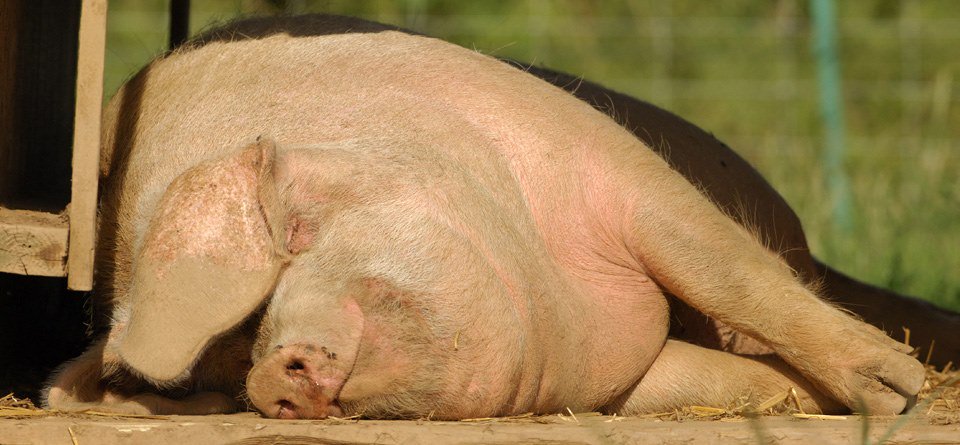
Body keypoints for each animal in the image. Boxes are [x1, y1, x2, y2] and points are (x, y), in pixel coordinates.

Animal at [43, 14, 935, 420]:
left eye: (297, 231)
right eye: (224, 367)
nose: (272, 371)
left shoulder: (609, 167)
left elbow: (725, 267)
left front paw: (899, 392)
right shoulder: (621, 372)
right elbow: (709, 374)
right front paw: (819, 396)